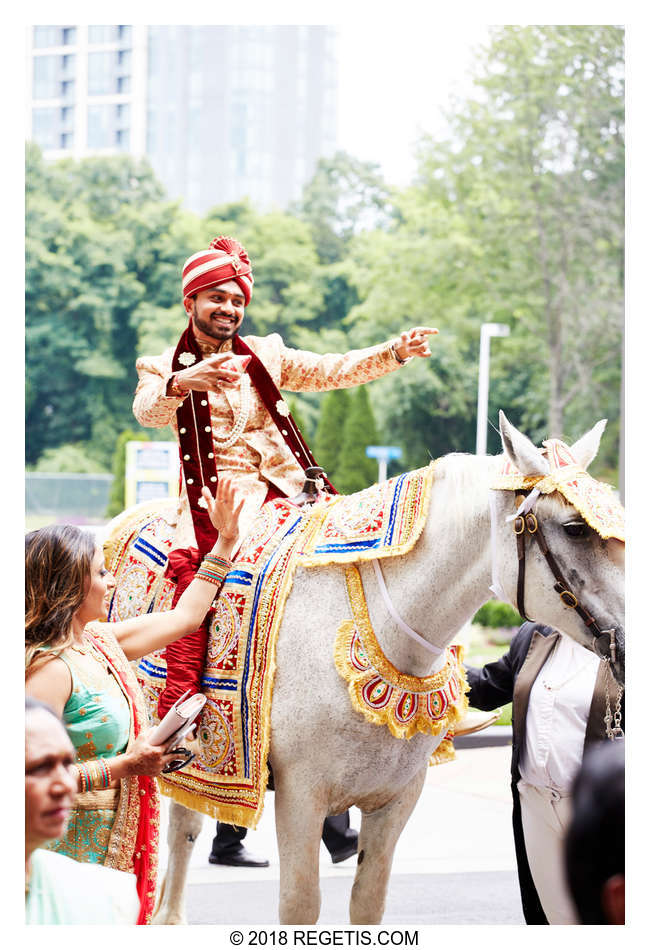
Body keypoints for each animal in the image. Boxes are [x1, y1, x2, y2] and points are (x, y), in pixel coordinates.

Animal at [133, 412, 624, 924]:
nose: (628, 646)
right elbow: (300, 904)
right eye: (575, 528)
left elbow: (368, 902)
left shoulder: (398, 796)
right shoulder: (300, 794)